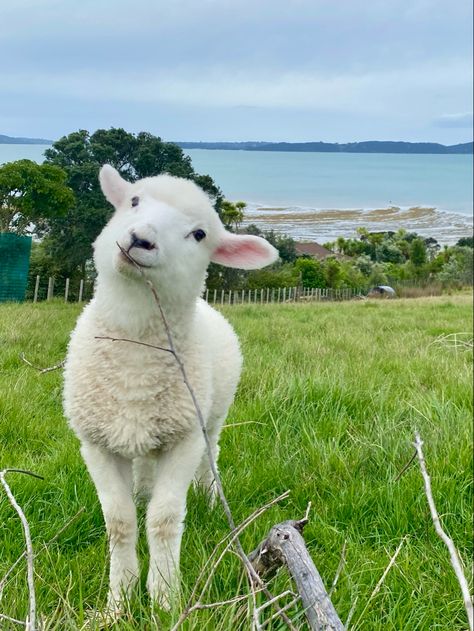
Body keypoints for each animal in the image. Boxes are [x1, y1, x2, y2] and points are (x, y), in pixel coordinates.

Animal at [63, 167, 278, 612]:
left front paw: (165, 598)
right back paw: (142, 493)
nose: (141, 238)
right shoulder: (96, 443)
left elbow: (163, 521)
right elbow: (120, 522)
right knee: (143, 472)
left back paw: (211, 500)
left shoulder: (184, 439)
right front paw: (119, 601)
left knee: (211, 459)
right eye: (133, 201)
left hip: (211, 417)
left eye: (199, 234)